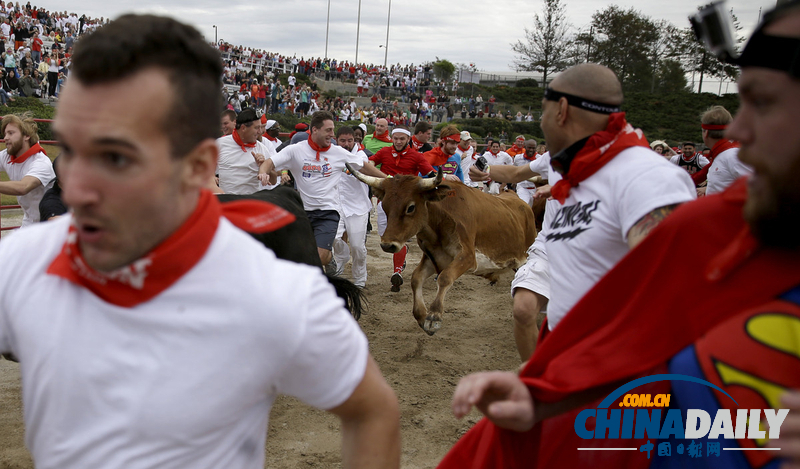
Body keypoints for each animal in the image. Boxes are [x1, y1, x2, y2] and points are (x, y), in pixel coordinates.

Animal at [346, 165, 536, 332]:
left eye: (411, 207)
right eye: (385, 206)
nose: (387, 244)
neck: (439, 224)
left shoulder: (468, 257)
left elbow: (445, 277)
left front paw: (434, 316)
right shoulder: (434, 258)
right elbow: (416, 278)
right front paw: (421, 314)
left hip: (523, 259)